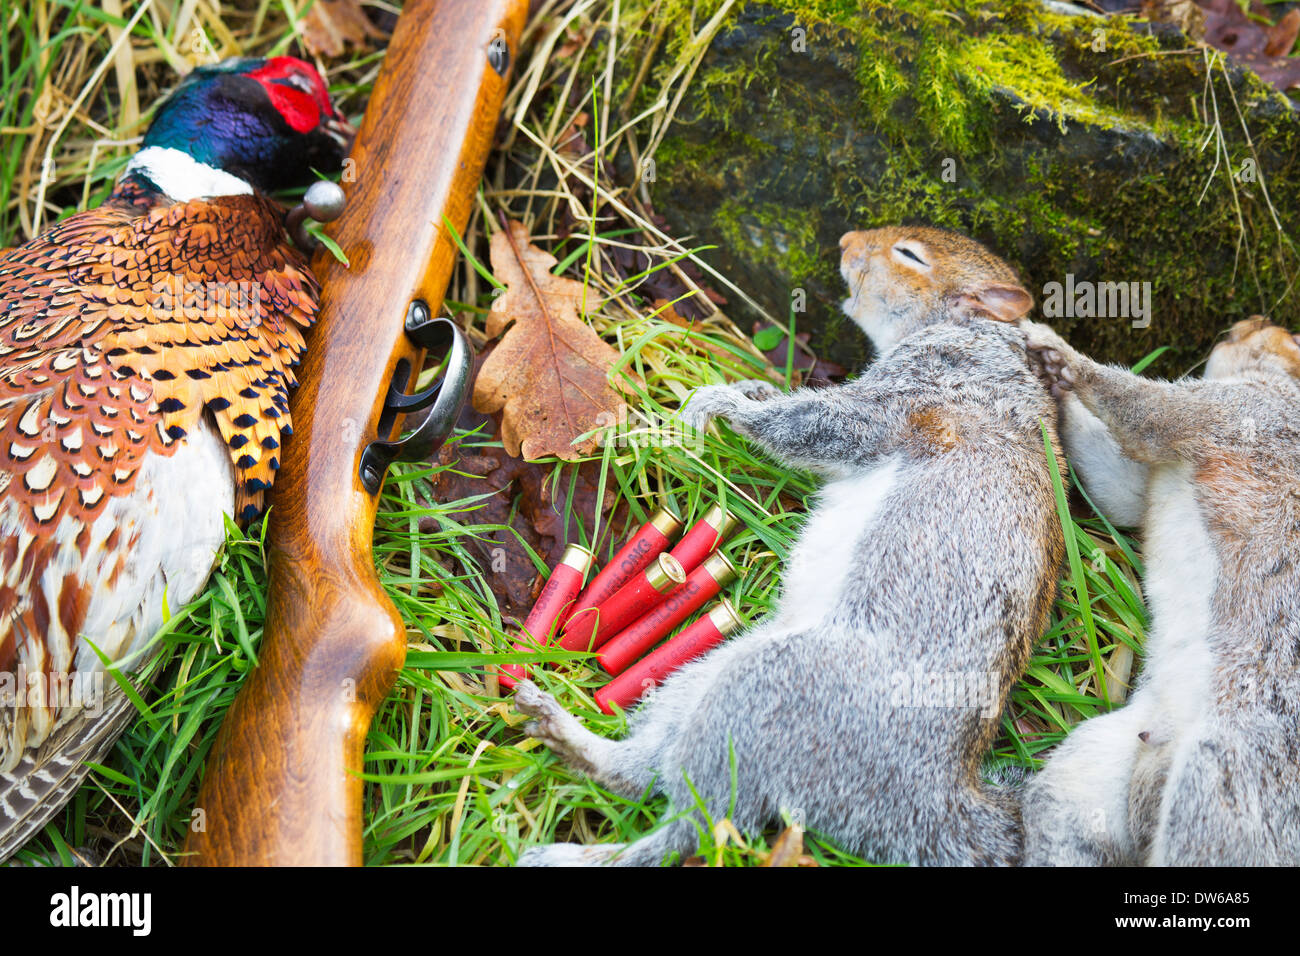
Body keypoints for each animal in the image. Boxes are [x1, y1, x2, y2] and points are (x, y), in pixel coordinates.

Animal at [509, 227, 1066, 868]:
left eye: (911, 255)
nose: (847, 240)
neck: (981, 334)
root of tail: (930, 798)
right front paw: (749, 389)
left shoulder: (929, 387)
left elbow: (821, 424)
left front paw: (724, 405)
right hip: (702, 678)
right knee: (643, 775)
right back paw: (561, 731)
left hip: (767, 688)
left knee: (696, 825)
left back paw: (574, 848)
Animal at [1019, 319, 1300, 868]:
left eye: (1290, 340)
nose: (1244, 325)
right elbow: (1114, 480)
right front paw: (1053, 387)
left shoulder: (1248, 414)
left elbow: (1149, 412)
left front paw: (1062, 356)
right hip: (1089, 776)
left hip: (1220, 788)